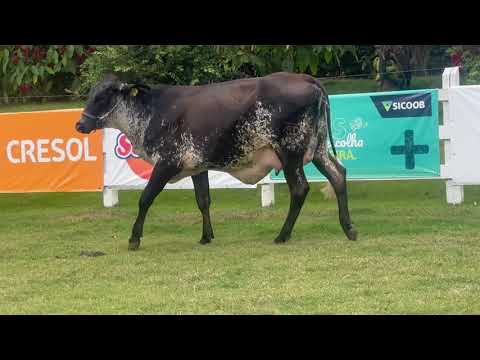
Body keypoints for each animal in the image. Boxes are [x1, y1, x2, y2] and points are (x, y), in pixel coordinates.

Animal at [76, 71, 356, 249]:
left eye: (104, 96)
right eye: (91, 94)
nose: (80, 124)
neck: (151, 111)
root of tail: (305, 78)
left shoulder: (167, 163)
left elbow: (146, 198)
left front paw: (134, 238)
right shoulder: (197, 167)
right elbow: (203, 200)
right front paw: (206, 236)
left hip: (291, 153)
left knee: (299, 189)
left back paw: (282, 235)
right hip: (317, 150)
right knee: (338, 175)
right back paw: (349, 228)